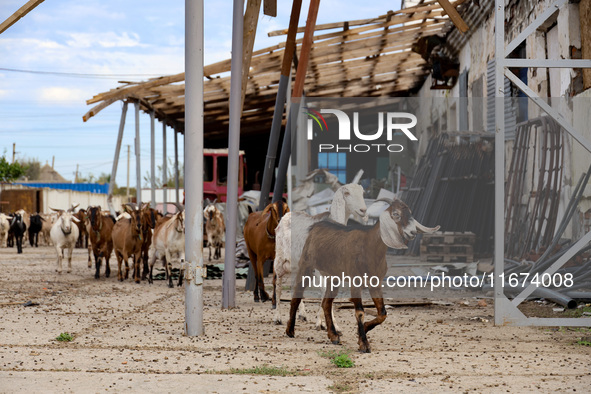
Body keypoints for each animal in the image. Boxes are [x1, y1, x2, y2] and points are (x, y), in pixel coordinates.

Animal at [274, 183, 368, 328]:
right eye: (347, 193)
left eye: (362, 193)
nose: (363, 210)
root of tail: (286, 215)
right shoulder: (319, 269)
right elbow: (324, 291)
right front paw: (329, 324)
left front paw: (322, 322)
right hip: (279, 259)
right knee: (278, 285)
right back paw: (277, 318)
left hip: (297, 264)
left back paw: (302, 314)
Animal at [286, 199, 440, 352]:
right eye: (396, 214)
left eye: (410, 213)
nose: (412, 232)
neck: (369, 248)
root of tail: (315, 227)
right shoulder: (355, 281)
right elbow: (360, 312)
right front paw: (364, 344)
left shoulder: (375, 283)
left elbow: (382, 313)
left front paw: (364, 330)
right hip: (306, 266)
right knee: (296, 296)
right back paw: (290, 331)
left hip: (333, 277)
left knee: (326, 303)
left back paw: (334, 336)